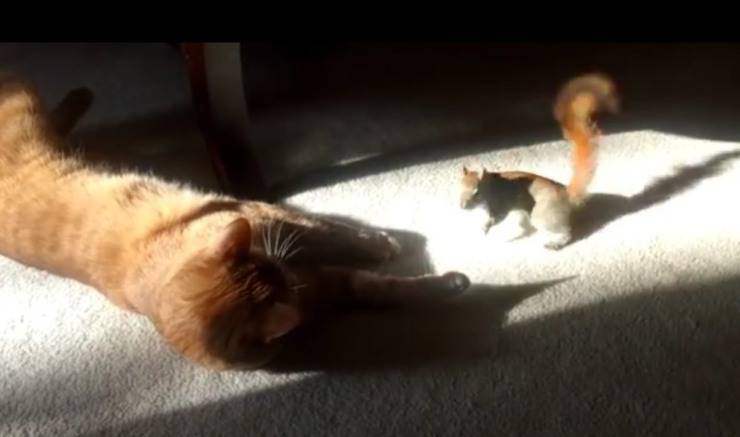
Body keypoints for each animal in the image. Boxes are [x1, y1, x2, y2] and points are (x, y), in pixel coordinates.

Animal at [0, 74, 471, 370]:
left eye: (274, 264)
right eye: (283, 281)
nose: (290, 270)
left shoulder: (261, 216)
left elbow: (336, 237)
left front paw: (392, 251)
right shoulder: (327, 285)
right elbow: (377, 285)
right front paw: (435, 278)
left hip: (26, 103)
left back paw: (82, 93)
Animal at [459, 73, 619, 249]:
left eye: (477, 193)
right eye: (459, 188)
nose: (462, 207)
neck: (491, 185)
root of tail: (566, 195)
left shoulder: (501, 202)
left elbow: (498, 216)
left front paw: (485, 226)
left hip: (542, 215)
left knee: (564, 231)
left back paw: (554, 243)